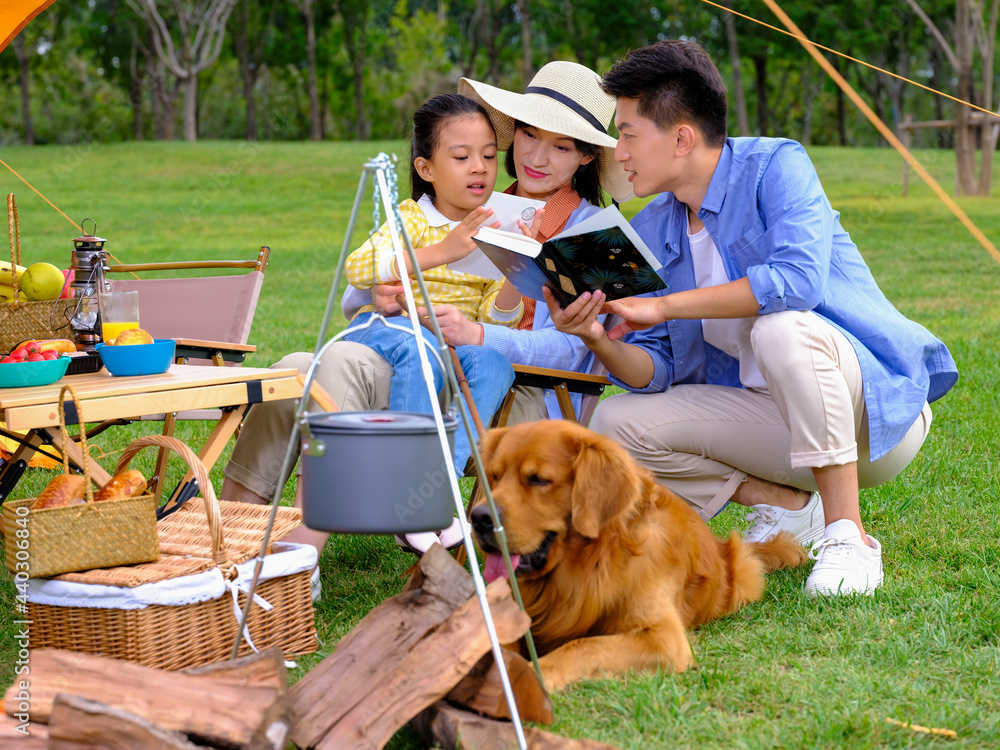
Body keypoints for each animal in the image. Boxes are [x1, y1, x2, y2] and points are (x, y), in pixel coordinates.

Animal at [472, 420, 808, 692]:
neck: (589, 564)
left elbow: (582, 646)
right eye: (494, 477)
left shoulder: (663, 637)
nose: (479, 519)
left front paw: (532, 676)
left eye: (539, 479)